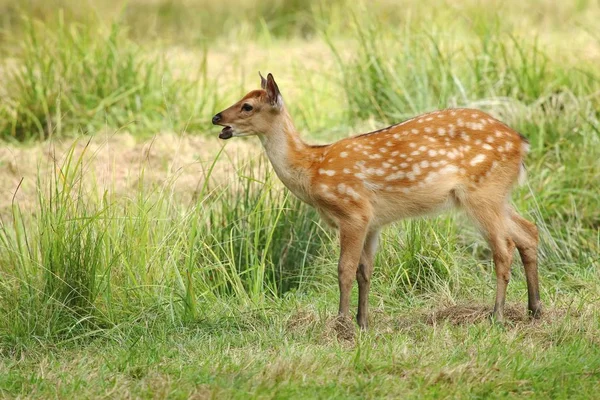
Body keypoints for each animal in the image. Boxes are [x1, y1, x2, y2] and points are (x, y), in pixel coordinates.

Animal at [213, 73, 540, 330]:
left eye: (247, 106)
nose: (216, 117)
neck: (311, 169)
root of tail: (522, 143)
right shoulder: (373, 221)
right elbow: (365, 272)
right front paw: (363, 323)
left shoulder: (353, 211)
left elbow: (344, 269)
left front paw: (341, 324)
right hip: (497, 194)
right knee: (528, 231)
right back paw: (534, 310)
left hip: (481, 193)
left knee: (504, 248)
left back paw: (497, 316)